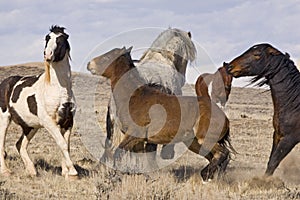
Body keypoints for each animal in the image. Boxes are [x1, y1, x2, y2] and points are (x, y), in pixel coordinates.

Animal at [0, 24, 78, 178]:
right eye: (47, 38)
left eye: (61, 39)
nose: (47, 54)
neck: (58, 89)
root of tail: (4, 82)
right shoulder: (49, 122)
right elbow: (61, 143)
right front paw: (72, 172)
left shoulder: (68, 122)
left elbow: (65, 145)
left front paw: (66, 173)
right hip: (4, 118)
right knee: (2, 143)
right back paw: (5, 171)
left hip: (30, 126)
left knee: (20, 145)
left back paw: (31, 170)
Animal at [89, 47, 234, 181]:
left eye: (108, 57)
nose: (89, 64)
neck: (135, 97)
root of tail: (223, 115)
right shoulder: (138, 141)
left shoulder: (134, 135)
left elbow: (118, 154)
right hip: (195, 143)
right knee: (214, 157)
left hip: (205, 139)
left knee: (223, 153)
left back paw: (205, 176)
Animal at [225, 43, 300, 176]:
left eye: (257, 54)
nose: (229, 66)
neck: (293, 103)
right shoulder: (277, 135)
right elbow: (270, 161)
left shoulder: (290, 139)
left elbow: (273, 162)